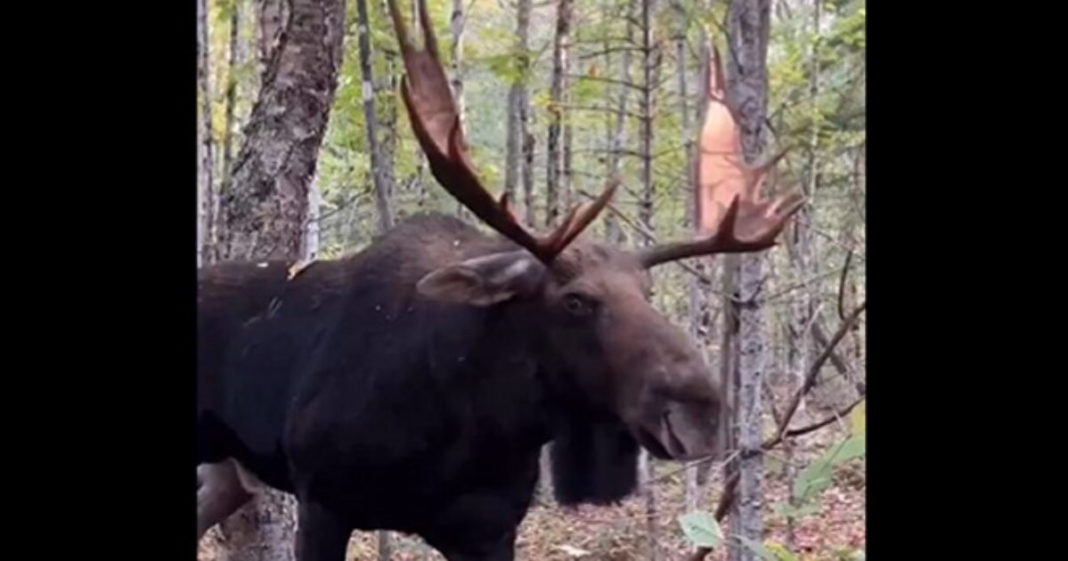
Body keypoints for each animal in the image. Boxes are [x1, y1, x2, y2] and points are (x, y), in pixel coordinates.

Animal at [198, 2, 803, 555]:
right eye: (575, 300)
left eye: (648, 292)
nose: (699, 409)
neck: (470, 425)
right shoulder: (323, 501)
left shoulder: (488, 528)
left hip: (230, 473)